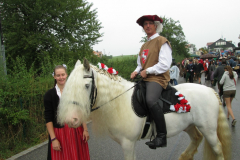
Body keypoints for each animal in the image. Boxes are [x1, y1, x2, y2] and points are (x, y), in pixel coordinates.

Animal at [57, 59, 232, 160]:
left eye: (86, 86)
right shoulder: (130, 144)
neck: (120, 101)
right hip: (189, 125)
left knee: (217, 149)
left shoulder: (127, 144)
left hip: (209, 129)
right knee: (196, 138)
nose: (71, 119)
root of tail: (210, 91)